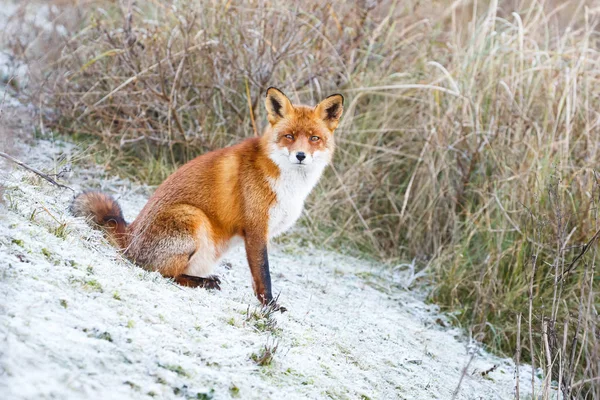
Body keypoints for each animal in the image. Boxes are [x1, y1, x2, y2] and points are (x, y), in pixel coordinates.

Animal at [71, 89, 342, 310]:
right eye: (289, 136)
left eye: (314, 138)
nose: (300, 155)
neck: (289, 184)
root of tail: (130, 234)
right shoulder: (255, 229)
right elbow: (263, 275)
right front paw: (270, 306)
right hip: (193, 217)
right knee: (159, 272)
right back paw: (200, 282)